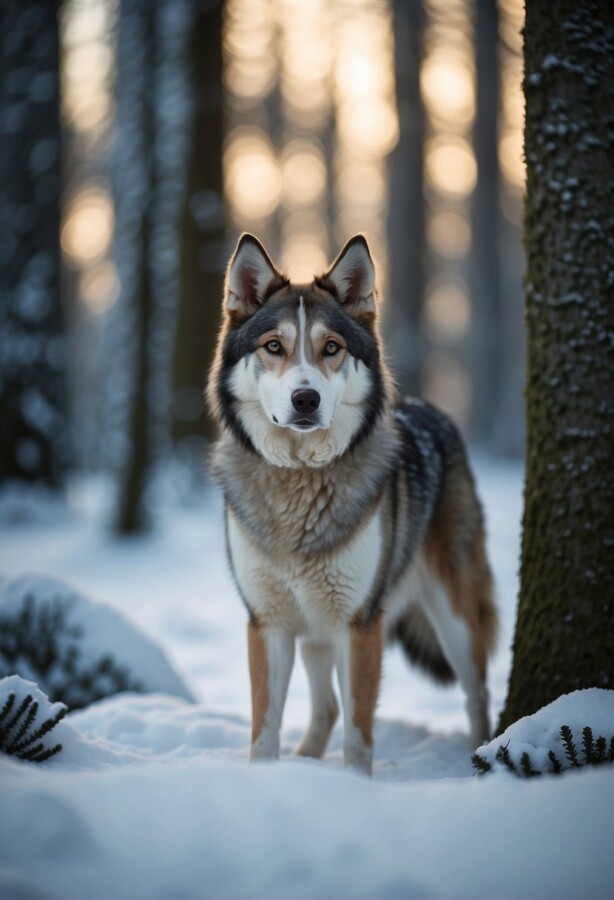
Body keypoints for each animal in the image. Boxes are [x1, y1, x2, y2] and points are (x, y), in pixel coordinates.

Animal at [209, 232, 498, 772]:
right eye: (274, 346)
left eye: (331, 348)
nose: (305, 400)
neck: (300, 483)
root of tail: (430, 409)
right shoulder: (268, 624)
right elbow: (265, 732)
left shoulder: (361, 625)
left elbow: (359, 737)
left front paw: (354, 788)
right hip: (315, 632)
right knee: (326, 706)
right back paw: (306, 759)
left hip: (453, 622)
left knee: (478, 694)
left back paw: (480, 756)